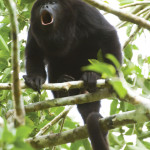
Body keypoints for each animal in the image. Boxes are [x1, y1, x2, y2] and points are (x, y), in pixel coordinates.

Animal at [23, 0, 122, 150]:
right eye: (41, 4)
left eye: (52, 3)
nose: (45, 6)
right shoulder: (33, 27)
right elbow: (34, 53)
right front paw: (35, 79)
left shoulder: (83, 9)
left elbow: (107, 33)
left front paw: (110, 75)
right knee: (54, 62)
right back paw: (62, 89)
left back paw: (92, 78)